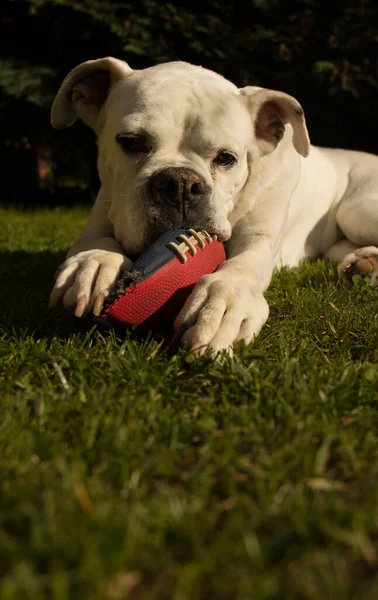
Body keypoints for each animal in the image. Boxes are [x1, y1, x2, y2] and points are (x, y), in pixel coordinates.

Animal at [49, 57, 378, 356]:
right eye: (130, 142)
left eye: (226, 158)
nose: (180, 183)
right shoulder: (103, 213)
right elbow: (94, 240)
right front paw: (94, 264)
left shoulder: (259, 239)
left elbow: (243, 266)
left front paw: (222, 305)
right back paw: (363, 265)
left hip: (356, 211)